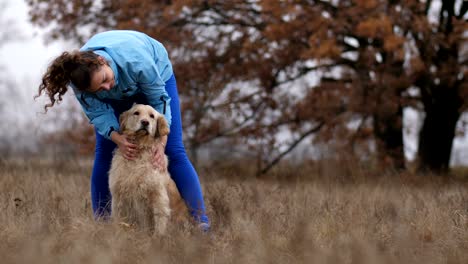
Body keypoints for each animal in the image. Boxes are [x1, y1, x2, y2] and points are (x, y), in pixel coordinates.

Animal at [109, 104, 187, 234]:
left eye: (152, 116)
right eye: (136, 113)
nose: (145, 122)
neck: (140, 148)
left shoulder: (158, 195)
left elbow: (160, 221)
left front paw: (158, 237)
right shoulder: (119, 195)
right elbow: (119, 218)